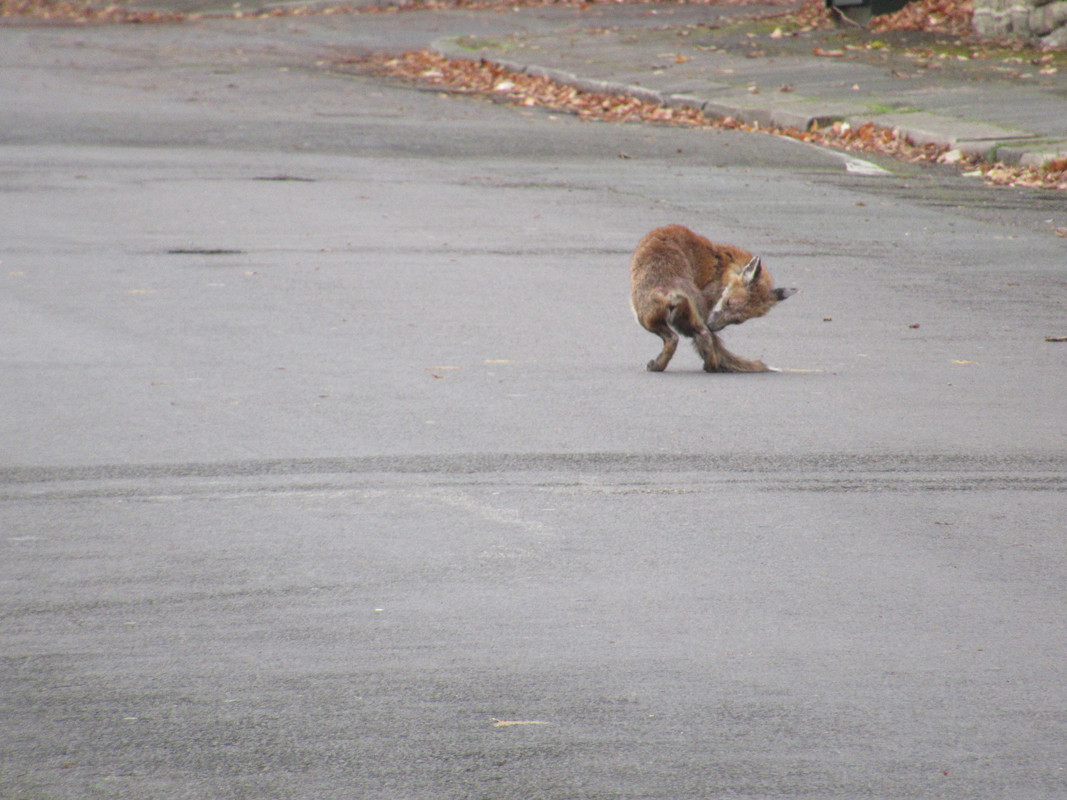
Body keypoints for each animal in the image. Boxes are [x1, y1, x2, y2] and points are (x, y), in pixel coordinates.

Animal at [630, 224, 797, 373]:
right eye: (728, 303)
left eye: (738, 320)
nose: (712, 326)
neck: (723, 267)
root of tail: (673, 282)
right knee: (704, 336)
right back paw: (711, 365)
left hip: (644, 317)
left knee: (674, 338)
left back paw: (658, 366)